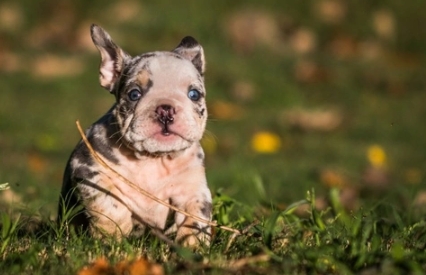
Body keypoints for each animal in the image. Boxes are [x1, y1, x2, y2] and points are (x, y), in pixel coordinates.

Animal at [59, 24, 212, 247]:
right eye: (134, 94)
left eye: (194, 94)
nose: (165, 109)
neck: (153, 159)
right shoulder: (89, 171)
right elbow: (110, 204)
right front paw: (113, 236)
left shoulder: (193, 190)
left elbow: (197, 217)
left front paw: (193, 245)